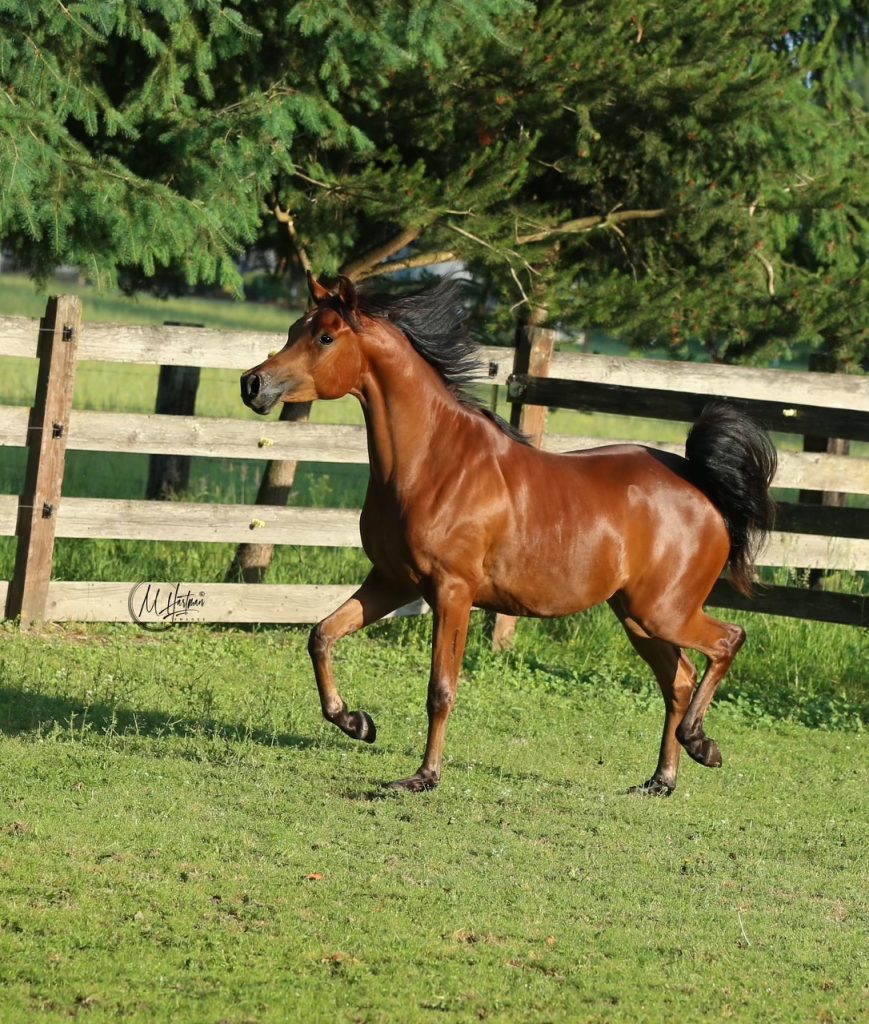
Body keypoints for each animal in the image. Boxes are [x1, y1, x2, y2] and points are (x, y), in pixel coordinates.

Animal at [241, 273, 777, 796]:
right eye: (294, 329)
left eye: (326, 337)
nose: (253, 383)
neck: (433, 462)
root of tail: (700, 484)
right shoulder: (391, 580)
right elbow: (321, 635)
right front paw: (356, 722)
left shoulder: (452, 592)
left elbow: (440, 690)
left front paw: (422, 777)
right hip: (638, 617)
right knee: (679, 680)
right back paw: (661, 780)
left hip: (664, 611)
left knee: (727, 641)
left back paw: (701, 743)